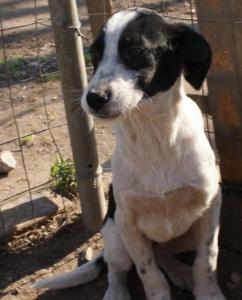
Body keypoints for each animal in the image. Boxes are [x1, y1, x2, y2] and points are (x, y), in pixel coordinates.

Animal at [33, 7, 226, 300]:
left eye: (135, 51)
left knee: (164, 255)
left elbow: (206, 260)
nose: (93, 98)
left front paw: (208, 293)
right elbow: (150, 275)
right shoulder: (128, 222)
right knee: (118, 269)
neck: (153, 135)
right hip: (115, 239)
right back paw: (117, 293)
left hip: (184, 236)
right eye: (94, 54)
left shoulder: (210, 205)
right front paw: (159, 296)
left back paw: (181, 273)